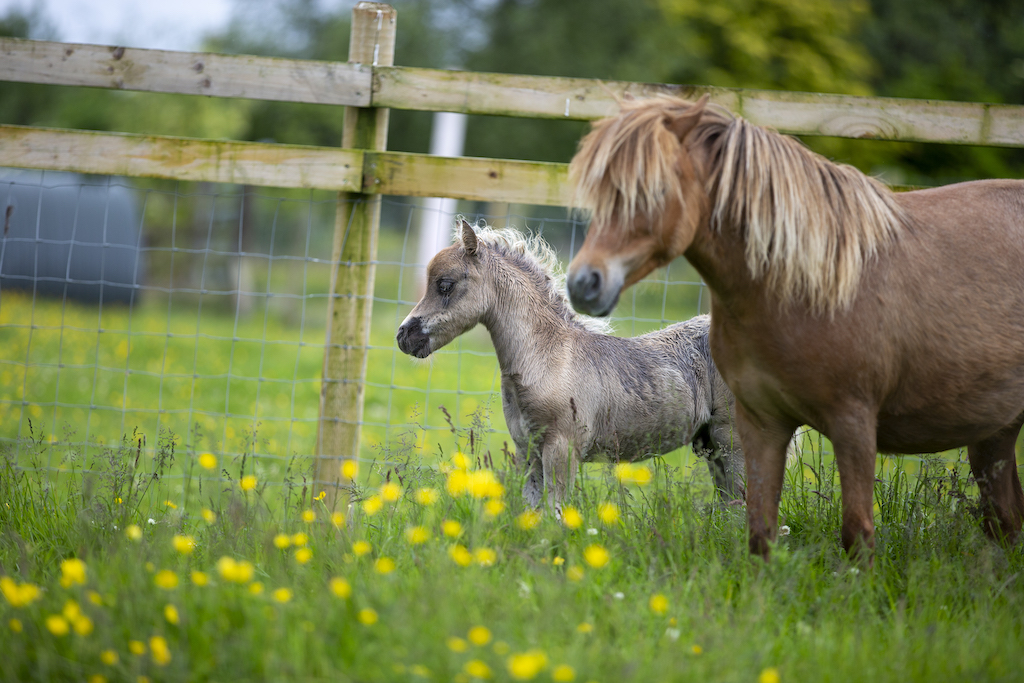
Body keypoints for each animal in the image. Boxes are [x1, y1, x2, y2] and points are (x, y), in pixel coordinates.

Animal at [396, 220, 745, 512]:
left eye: (445, 284)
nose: (404, 336)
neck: (548, 356)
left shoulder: (561, 449)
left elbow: (556, 515)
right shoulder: (528, 452)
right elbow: (533, 514)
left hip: (731, 440)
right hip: (711, 446)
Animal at [565, 94, 1024, 560]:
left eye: (656, 190)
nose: (584, 283)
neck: (807, 284)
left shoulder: (854, 422)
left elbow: (856, 532)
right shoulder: (759, 421)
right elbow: (759, 530)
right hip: (994, 432)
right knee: (1005, 520)